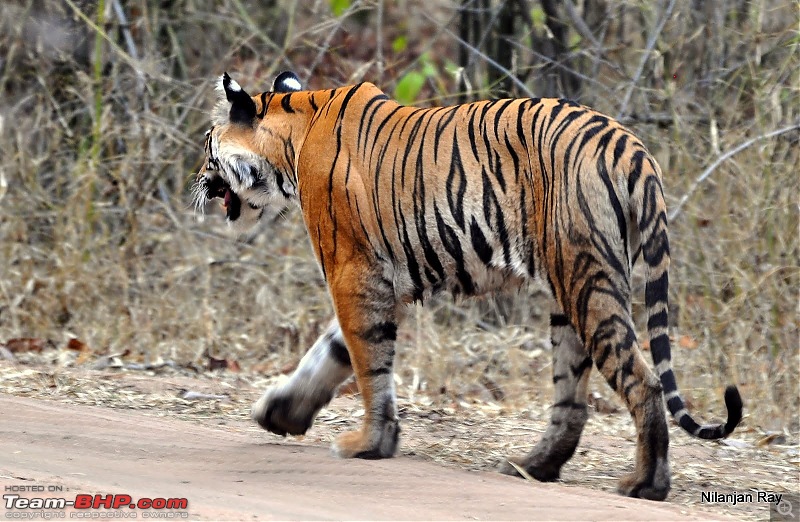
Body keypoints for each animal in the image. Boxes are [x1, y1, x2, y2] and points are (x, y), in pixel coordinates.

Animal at [194, 70, 744, 500]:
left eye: (207, 148)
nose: (195, 183)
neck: (293, 135)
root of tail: (628, 144)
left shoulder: (354, 272)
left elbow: (368, 364)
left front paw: (368, 444)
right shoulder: (382, 282)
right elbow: (331, 352)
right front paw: (280, 413)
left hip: (587, 279)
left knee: (644, 380)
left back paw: (645, 484)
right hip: (570, 294)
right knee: (572, 399)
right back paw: (533, 466)